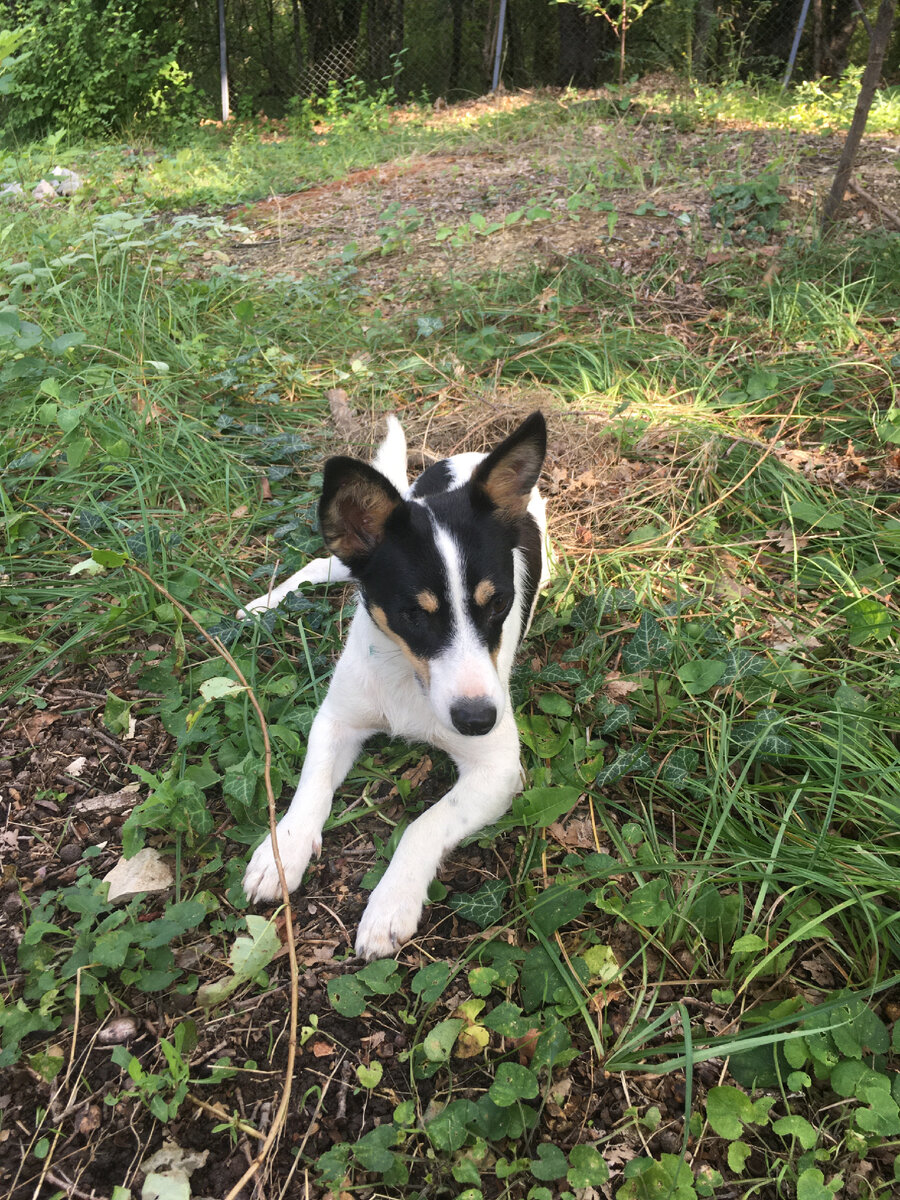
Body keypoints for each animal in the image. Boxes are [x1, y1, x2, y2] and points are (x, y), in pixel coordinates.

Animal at [241, 411, 548, 959]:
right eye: (413, 614)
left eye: (498, 603)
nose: (478, 721)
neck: (408, 677)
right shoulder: (336, 720)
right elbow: (310, 785)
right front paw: (284, 849)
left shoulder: (497, 769)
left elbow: (424, 825)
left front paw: (390, 904)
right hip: (349, 558)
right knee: (323, 564)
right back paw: (263, 605)